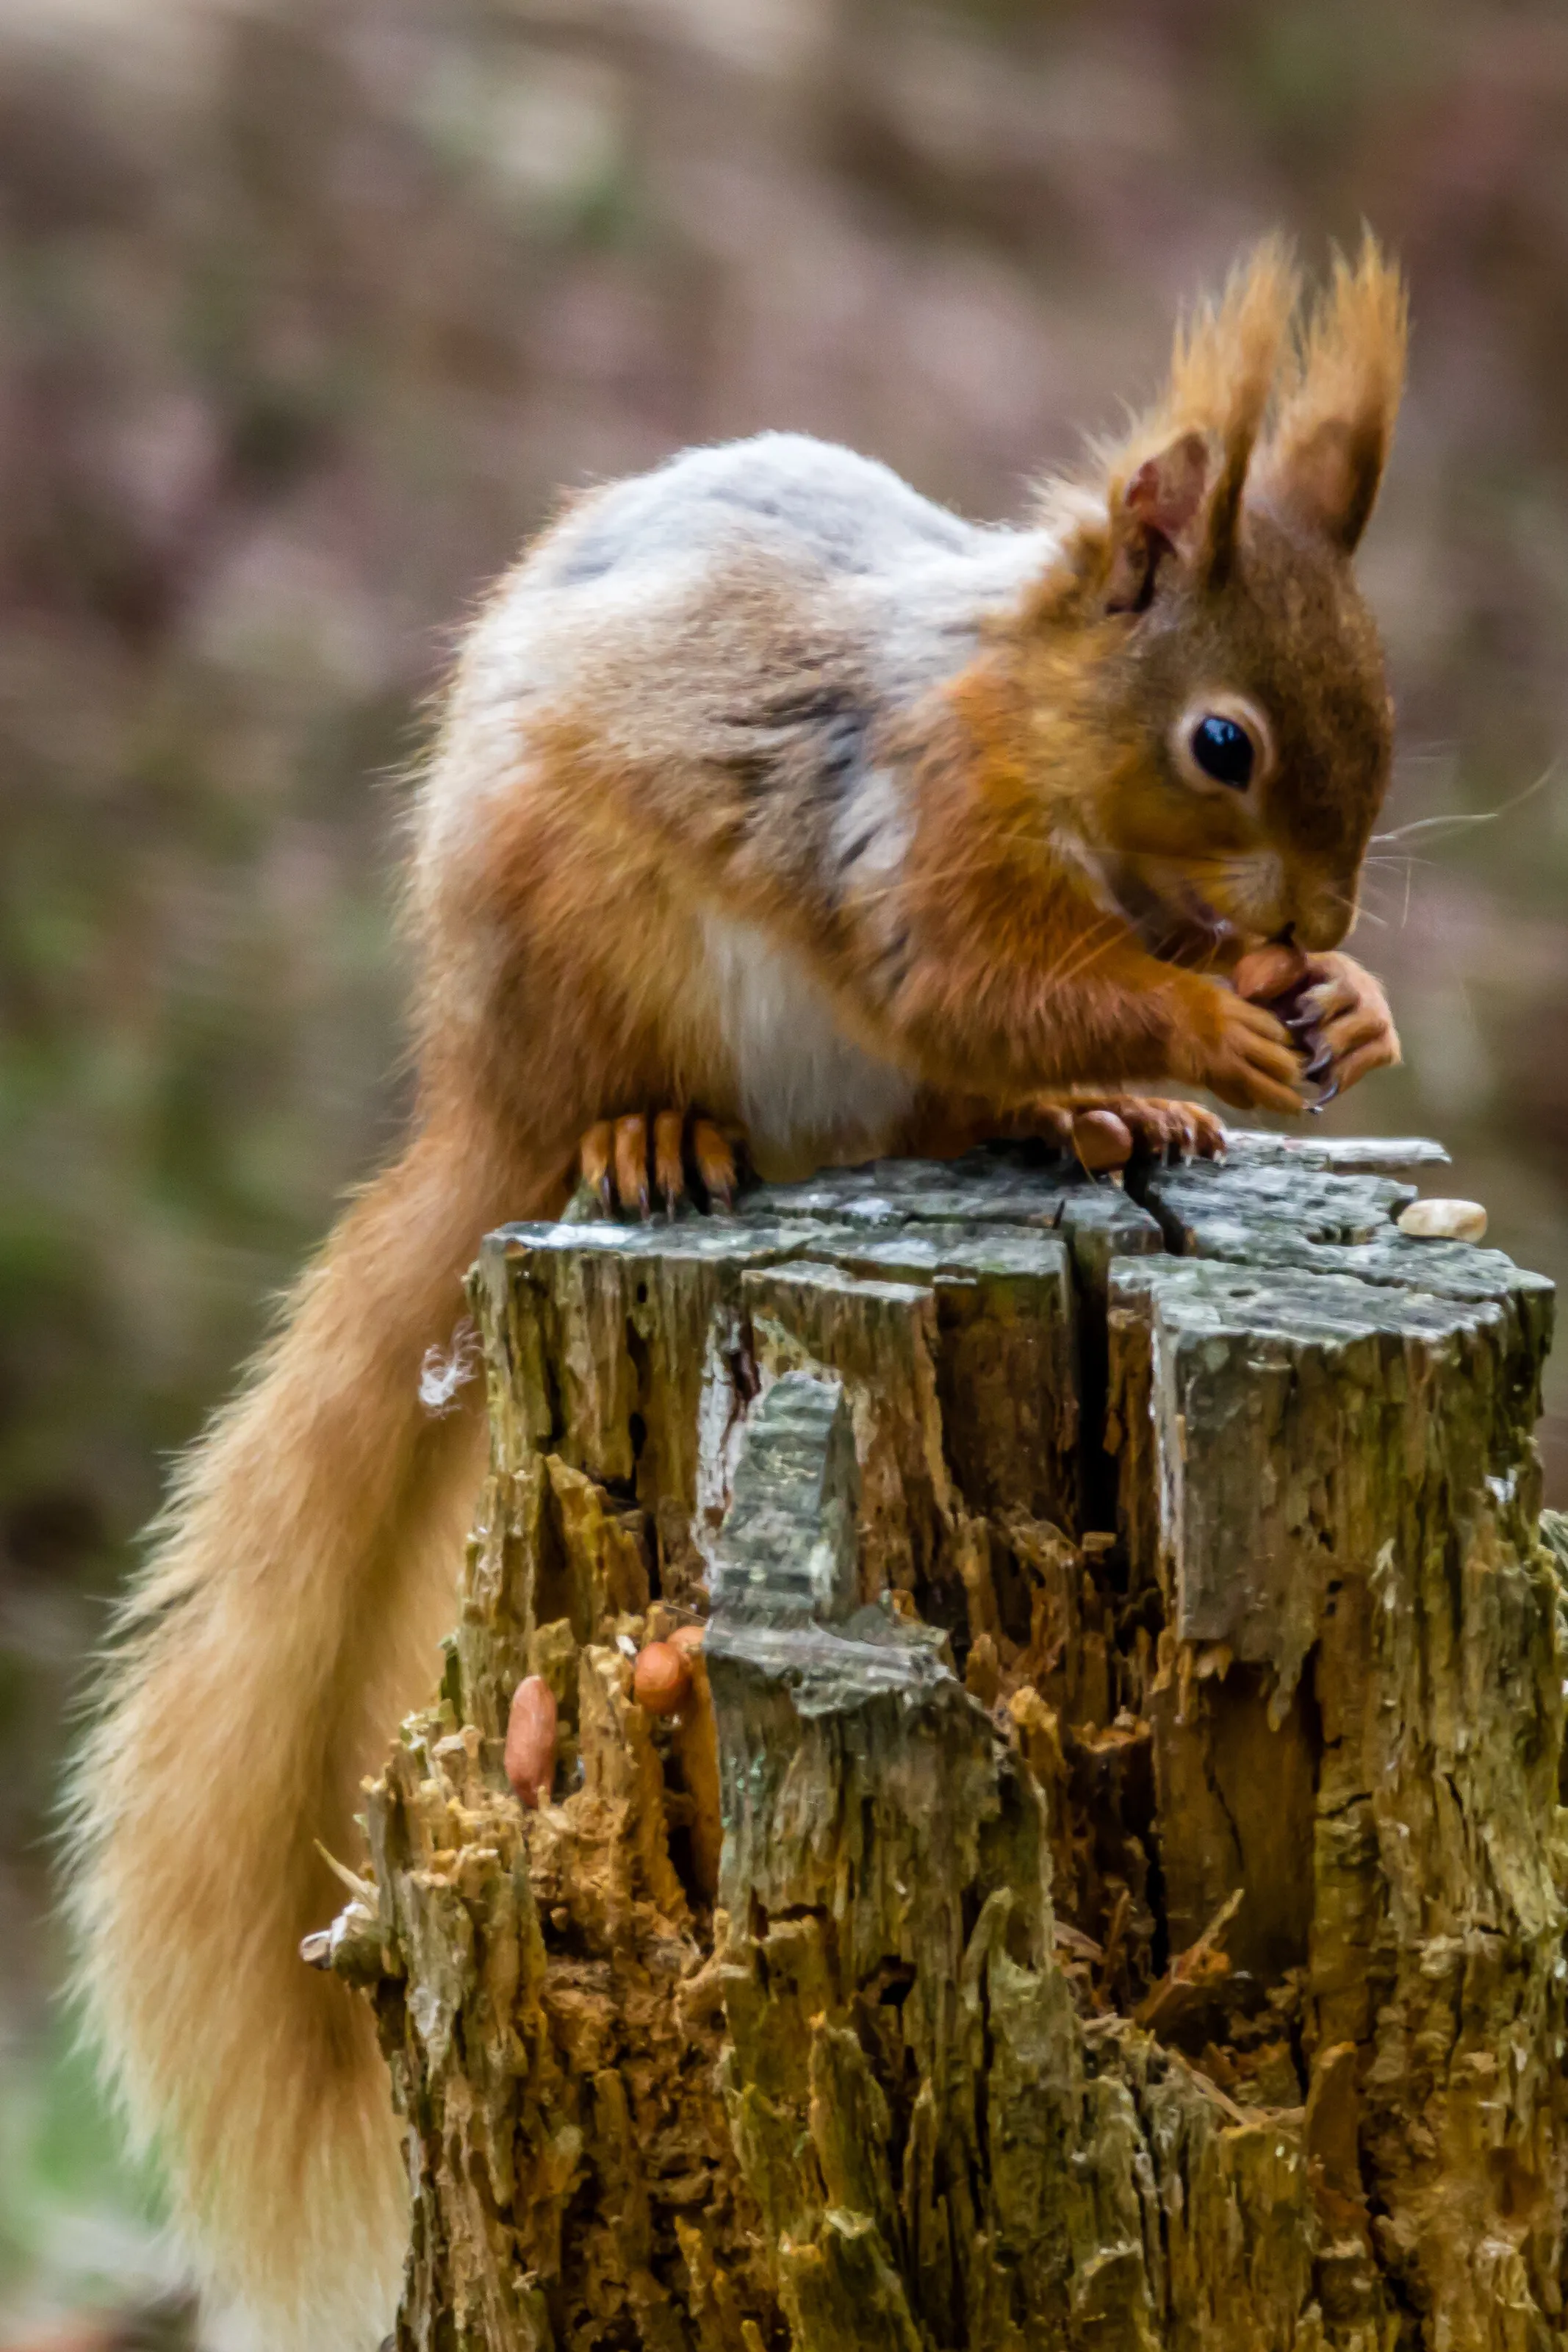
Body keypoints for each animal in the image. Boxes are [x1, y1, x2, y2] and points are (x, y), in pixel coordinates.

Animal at [68, 236, 1407, 2350]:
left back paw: (1087, 1115)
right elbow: (977, 970)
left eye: (1380, 704)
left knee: (952, 1099)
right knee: (710, 1095)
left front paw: (1325, 1012)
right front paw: (1202, 1023)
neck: (1027, 735)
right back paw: (662, 1142)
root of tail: (481, 1102)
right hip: (599, 970)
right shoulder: (898, 833)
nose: (1316, 926)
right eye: (1222, 743)